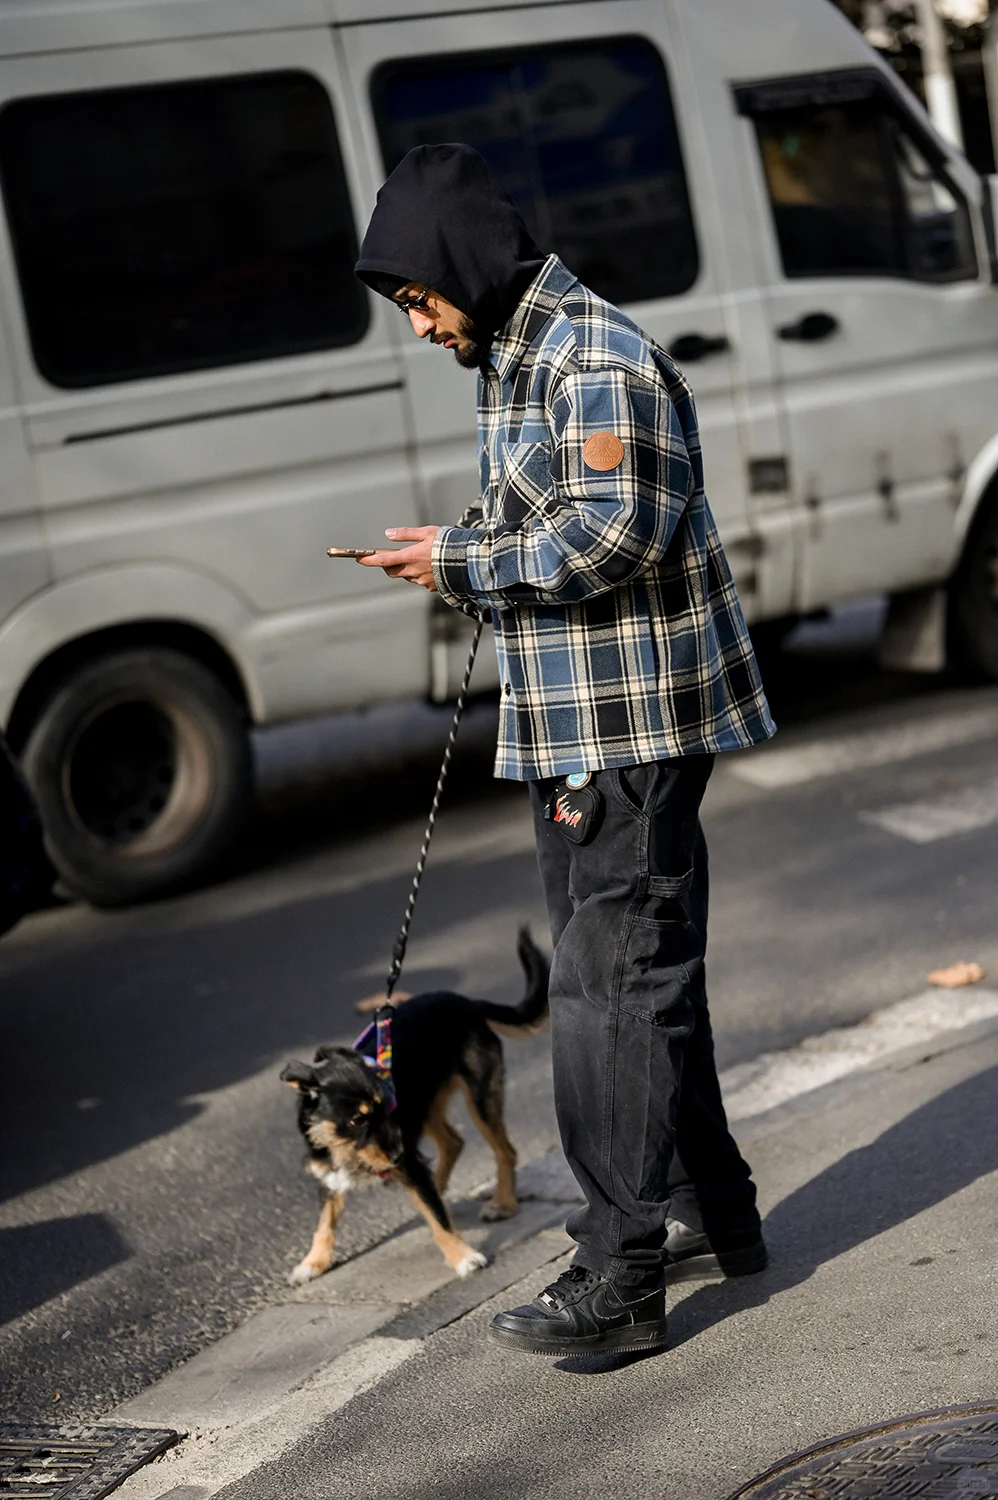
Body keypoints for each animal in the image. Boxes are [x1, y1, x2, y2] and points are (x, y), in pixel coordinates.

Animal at [277, 930, 546, 1284]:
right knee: (453, 1143)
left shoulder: (409, 1158)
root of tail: (467, 1003)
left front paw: (464, 1257)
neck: (341, 1147)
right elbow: (324, 1223)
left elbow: (440, 1220)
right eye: (357, 1120)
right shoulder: (331, 1176)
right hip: (427, 1104)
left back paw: (502, 1203)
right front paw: (312, 1263)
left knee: (505, 1151)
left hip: (479, 1097)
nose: (395, 1157)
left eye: (386, 1109)